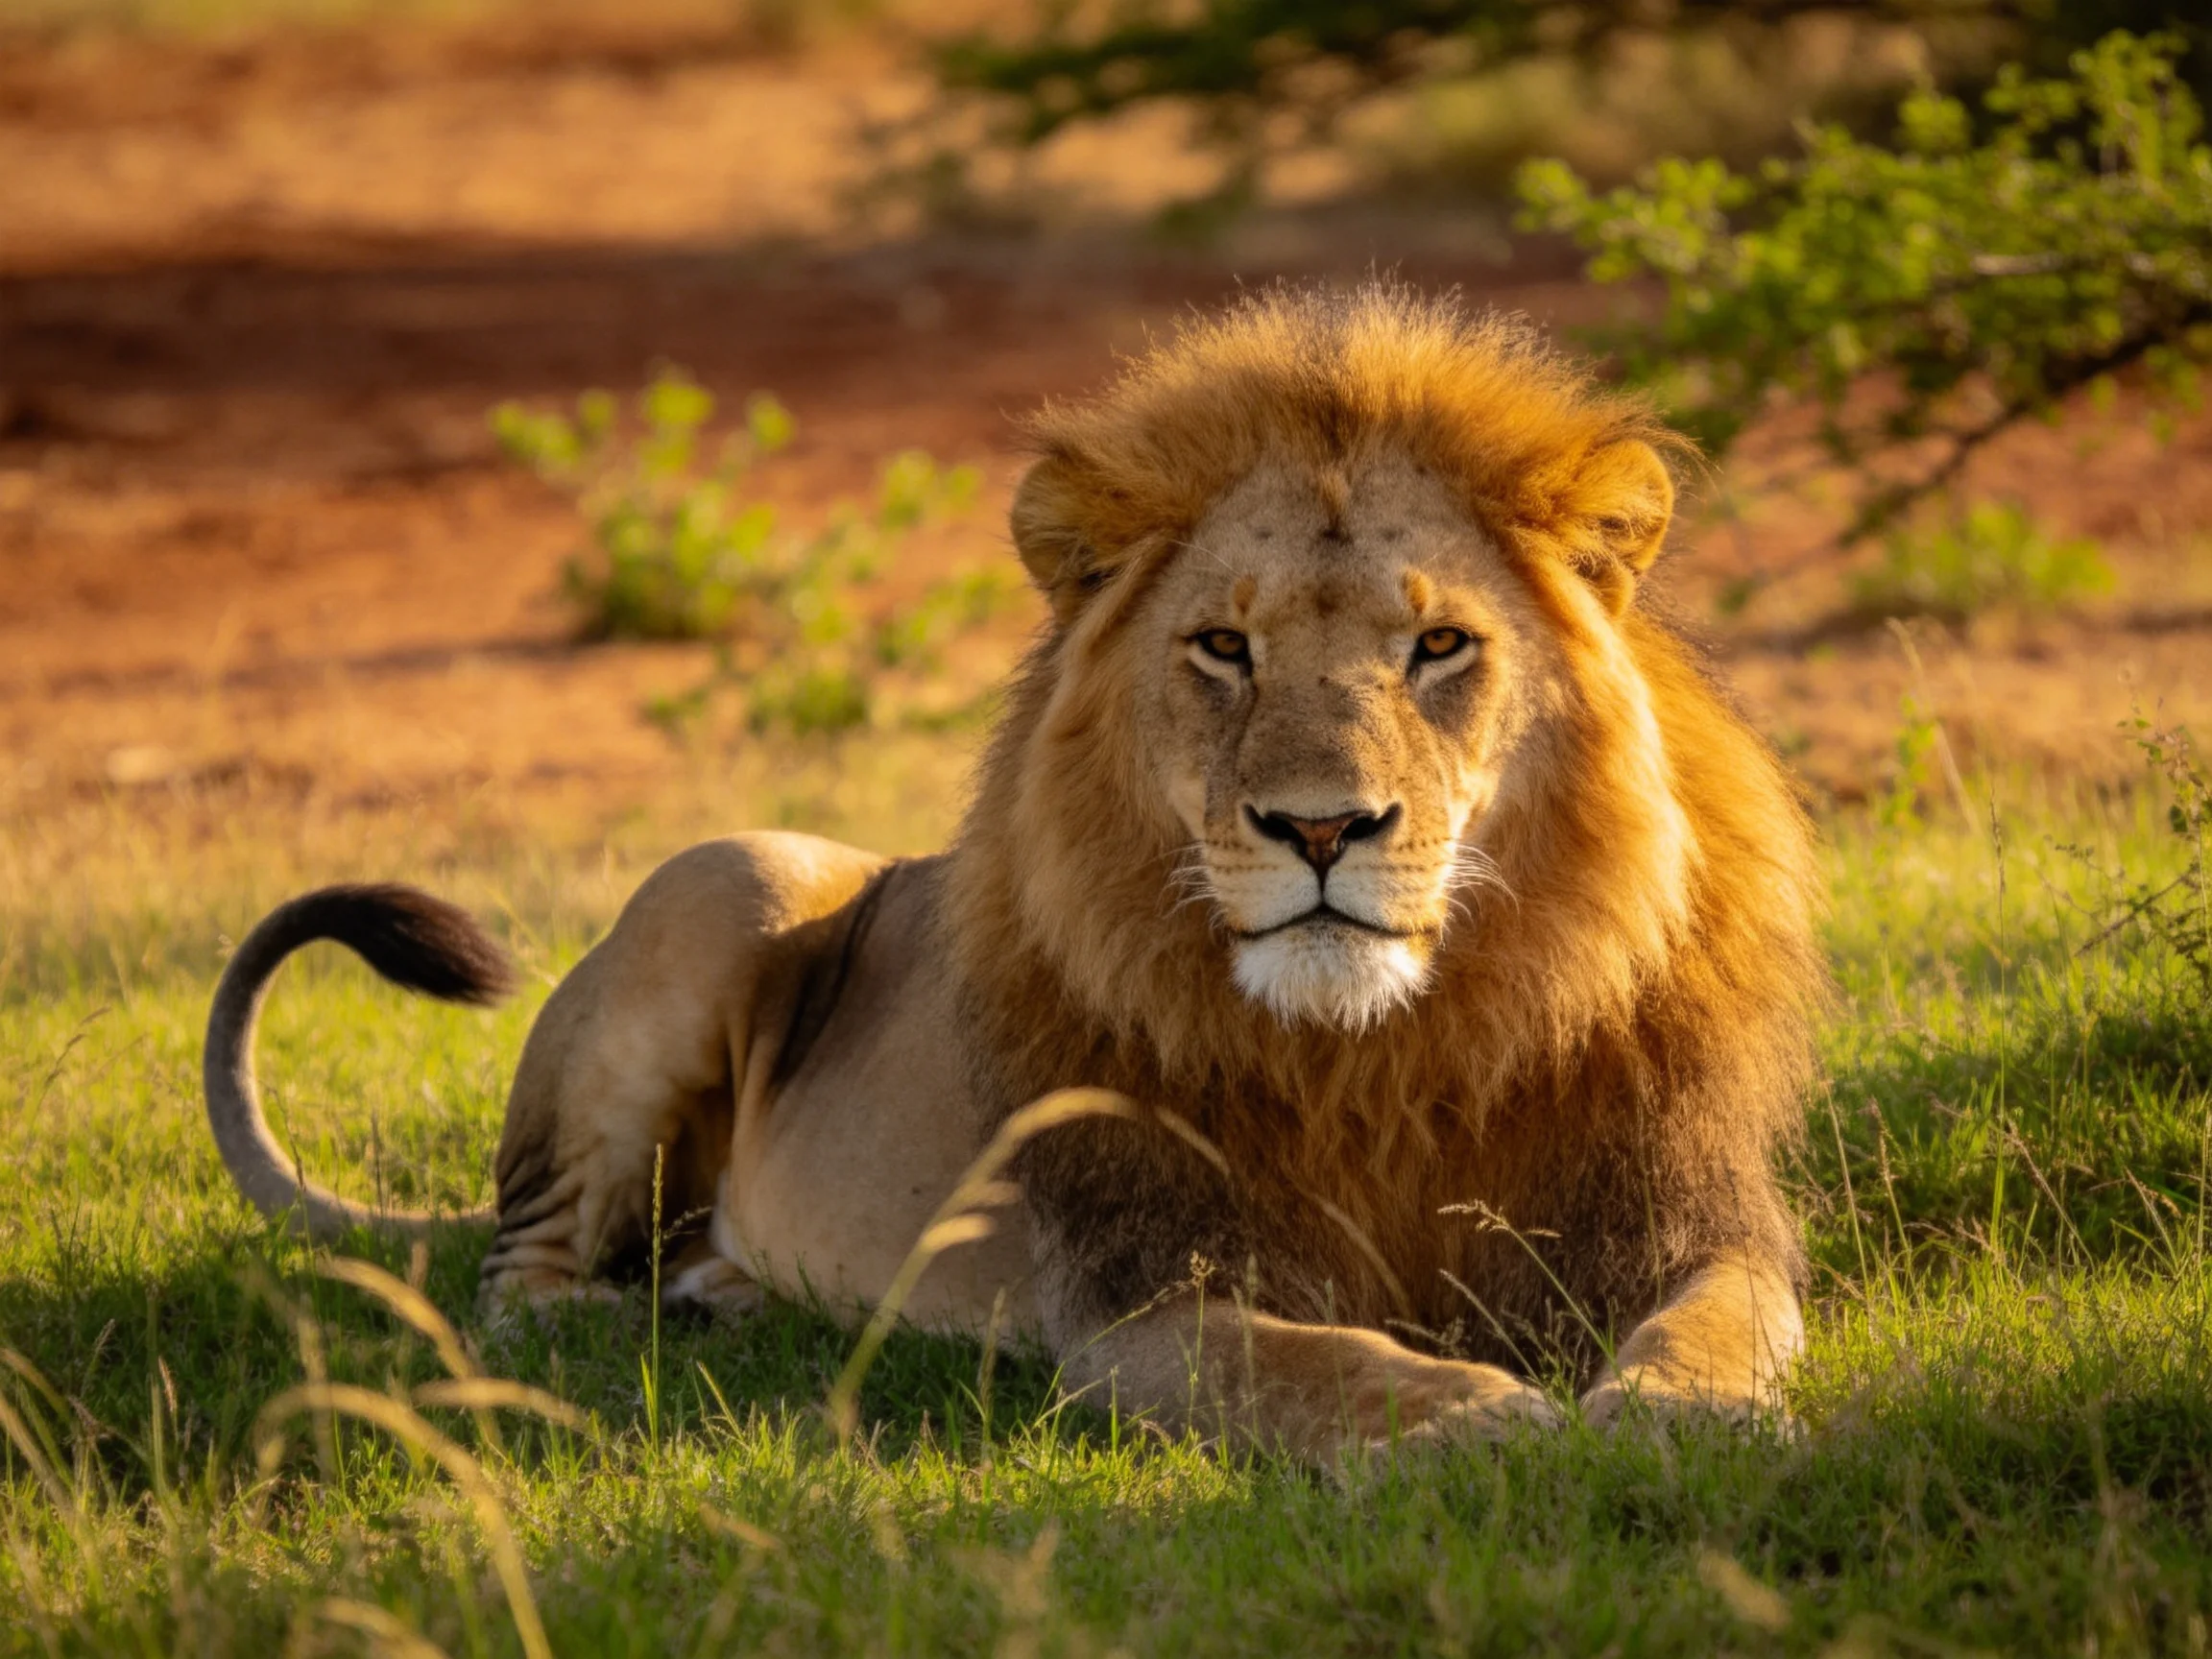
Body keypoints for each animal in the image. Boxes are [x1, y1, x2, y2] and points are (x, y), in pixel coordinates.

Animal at [203, 282, 1824, 1460]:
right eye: (1222, 647)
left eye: (1439, 646)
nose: (1320, 830)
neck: (1386, 1047)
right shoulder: (1142, 1305)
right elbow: (1323, 1367)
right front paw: (1484, 1419)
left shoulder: (1691, 1219)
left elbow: (1722, 1325)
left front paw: (1676, 1420)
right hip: (727, 876)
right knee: (514, 1273)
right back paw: (615, 1326)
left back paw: (728, 1292)